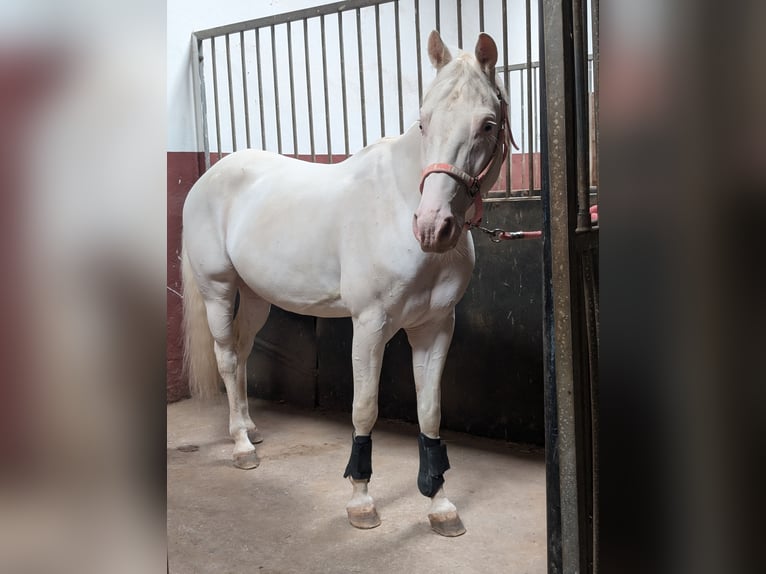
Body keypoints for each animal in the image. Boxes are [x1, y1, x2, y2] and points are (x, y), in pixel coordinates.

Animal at [182, 30, 512, 536]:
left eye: (488, 125)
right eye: (423, 123)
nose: (432, 227)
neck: (398, 203)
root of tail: (208, 177)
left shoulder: (435, 328)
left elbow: (430, 411)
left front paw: (439, 503)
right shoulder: (370, 325)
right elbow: (365, 407)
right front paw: (361, 500)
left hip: (255, 298)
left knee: (240, 353)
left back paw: (251, 428)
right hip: (217, 290)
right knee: (225, 357)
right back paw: (241, 446)